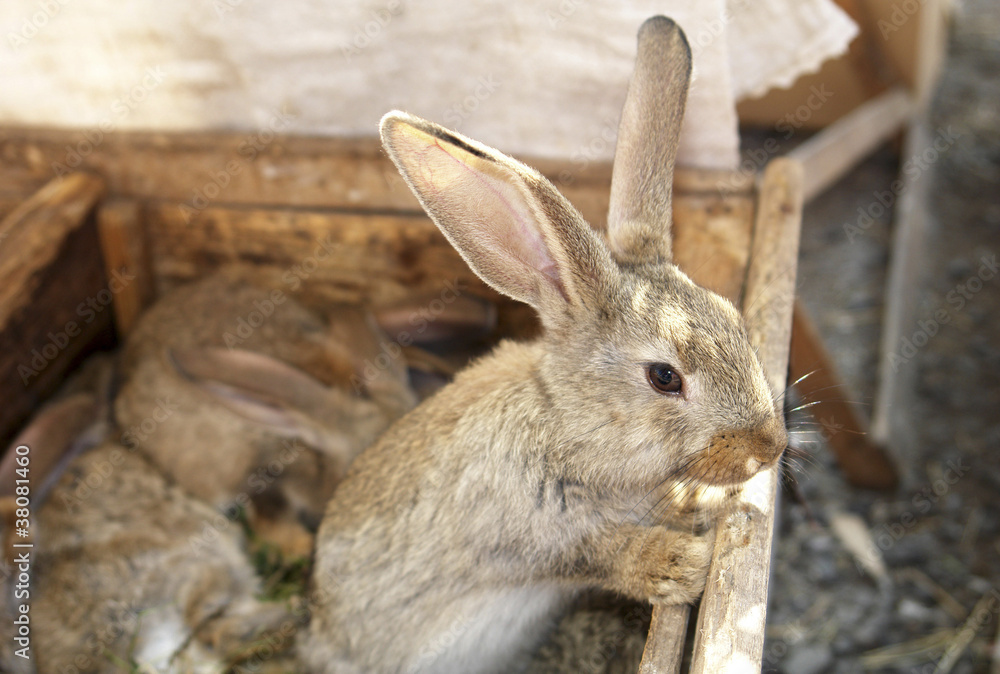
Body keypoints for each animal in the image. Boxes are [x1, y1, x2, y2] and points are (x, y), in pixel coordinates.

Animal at [302, 16, 787, 674]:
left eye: (734, 315)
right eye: (665, 377)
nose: (771, 447)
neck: (567, 426)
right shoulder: (532, 534)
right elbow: (601, 552)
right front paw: (683, 566)